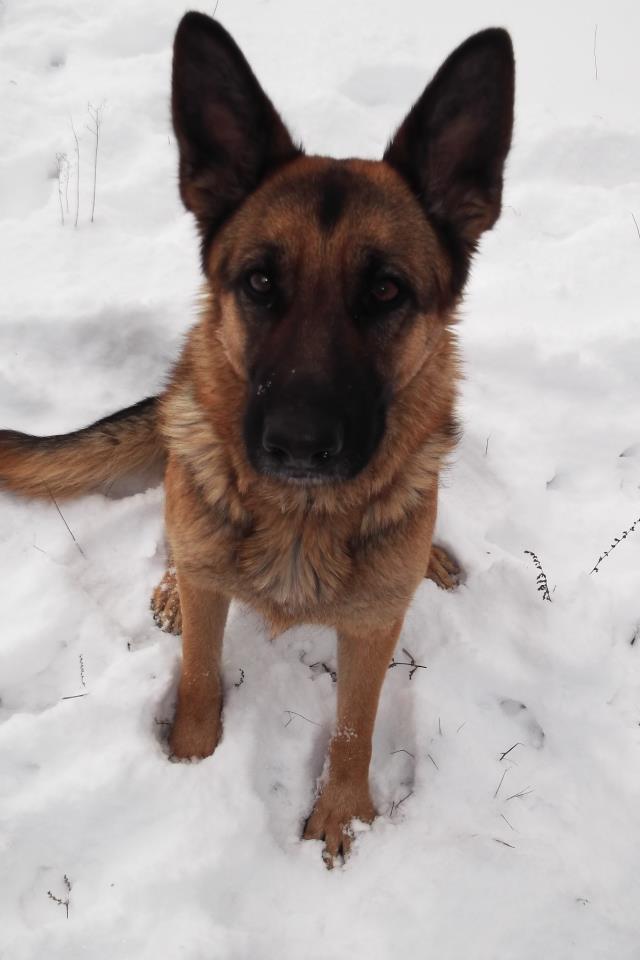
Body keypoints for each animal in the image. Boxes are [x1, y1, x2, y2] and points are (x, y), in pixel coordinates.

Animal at [0, 12, 514, 864]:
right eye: (260, 282)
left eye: (386, 290)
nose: (299, 446)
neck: (299, 519)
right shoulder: (213, 595)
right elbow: (201, 674)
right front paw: (189, 757)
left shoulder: (371, 631)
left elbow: (354, 726)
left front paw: (342, 815)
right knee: (180, 538)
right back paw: (171, 586)